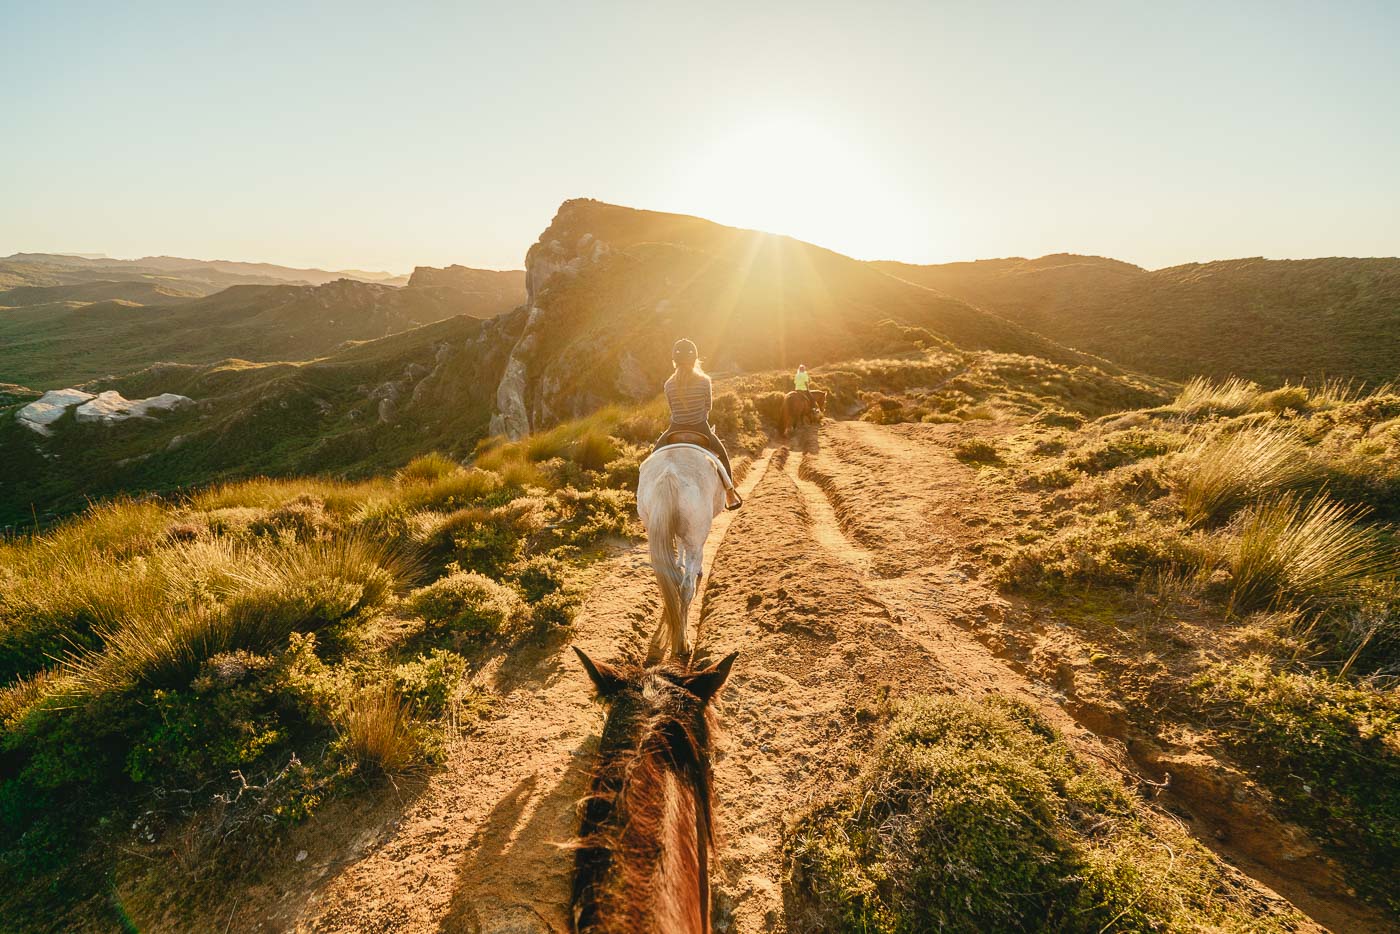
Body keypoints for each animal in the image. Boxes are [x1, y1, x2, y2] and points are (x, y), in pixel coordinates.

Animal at [638, 445, 728, 658]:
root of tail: (669, 473)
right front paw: (696, 569)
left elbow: (679, 547)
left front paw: (680, 563)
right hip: (695, 535)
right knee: (687, 587)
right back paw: (683, 643)